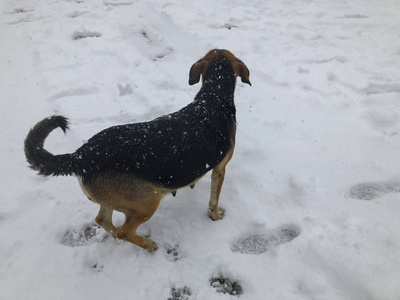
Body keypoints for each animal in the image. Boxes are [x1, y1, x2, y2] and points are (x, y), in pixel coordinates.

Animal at [24, 48, 250, 251]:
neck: (213, 98)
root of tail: (81, 155)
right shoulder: (220, 169)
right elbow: (213, 200)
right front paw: (216, 216)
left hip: (116, 199)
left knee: (103, 220)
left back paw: (117, 237)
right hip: (150, 199)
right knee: (125, 232)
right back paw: (149, 245)